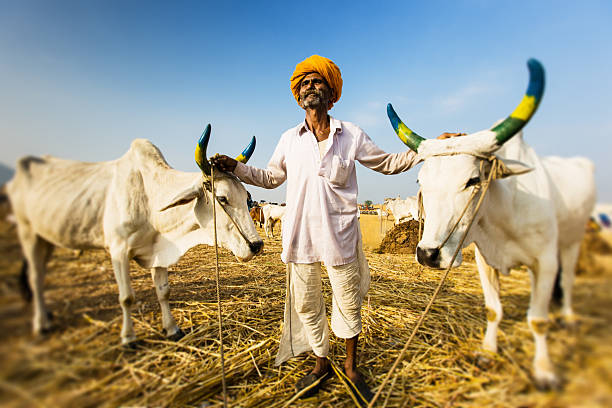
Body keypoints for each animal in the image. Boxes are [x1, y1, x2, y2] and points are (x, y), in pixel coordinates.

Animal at [5, 125, 262, 344]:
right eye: (222, 198)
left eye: (246, 196)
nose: (257, 245)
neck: (148, 199)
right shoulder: (118, 251)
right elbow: (126, 298)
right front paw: (128, 338)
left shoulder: (159, 252)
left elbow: (164, 292)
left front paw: (172, 329)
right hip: (27, 232)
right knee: (35, 278)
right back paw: (41, 324)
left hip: (46, 238)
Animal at [390, 59, 596, 388]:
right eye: (421, 181)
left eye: (474, 180)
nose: (428, 254)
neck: (505, 212)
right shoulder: (485, 260)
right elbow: (493, 310)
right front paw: (487, 351)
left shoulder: (544, 262)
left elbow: (538, 320)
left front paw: (544, 370)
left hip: (572, 242)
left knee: (567, 281)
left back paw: (568, 317)